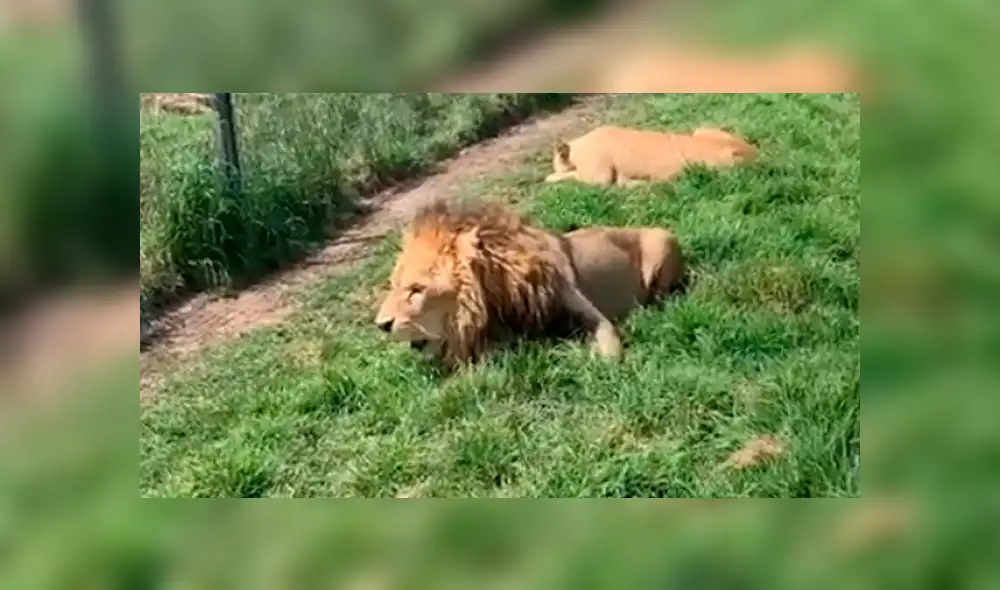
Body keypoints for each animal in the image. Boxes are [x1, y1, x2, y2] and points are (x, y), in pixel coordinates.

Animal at [374, 200, 685, 368]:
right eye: (394, 285)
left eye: (416, 290)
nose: (381, 325)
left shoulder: (590, 313)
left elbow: (609, 346)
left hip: (662, 241)